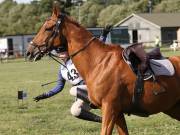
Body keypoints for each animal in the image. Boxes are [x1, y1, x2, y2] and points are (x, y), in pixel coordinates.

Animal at [26, 4, 180, 135]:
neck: (99, 63)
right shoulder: (117, 113)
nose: (29, 52)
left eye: (48, 28)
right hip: (172, 108)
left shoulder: (110, 110)